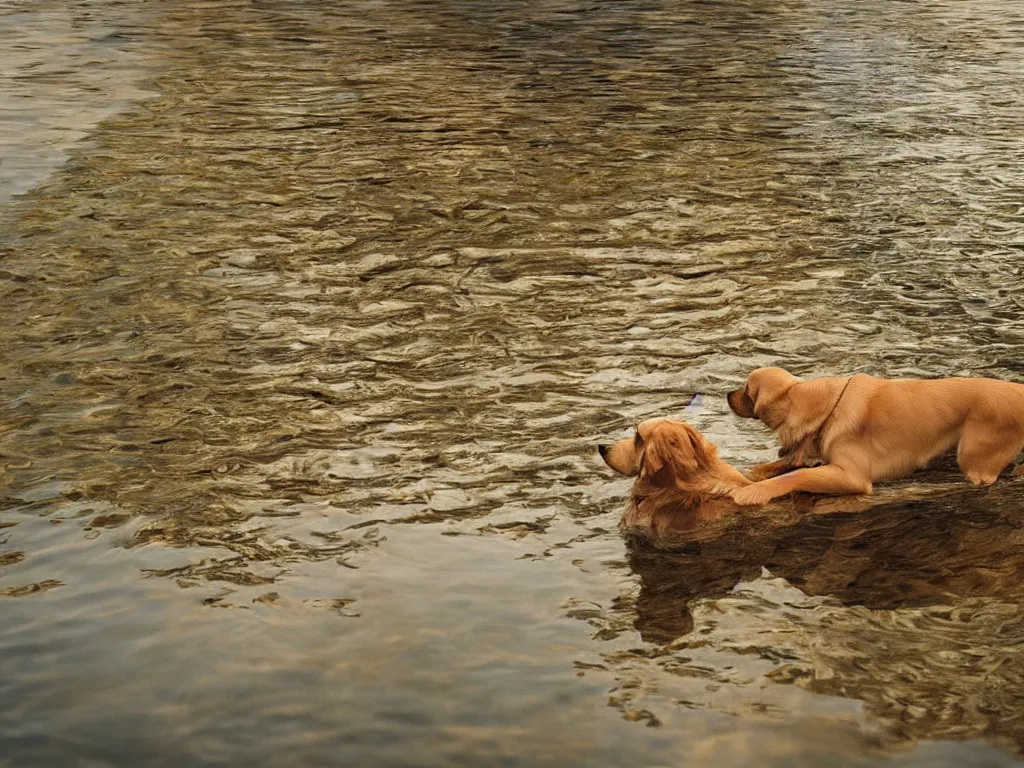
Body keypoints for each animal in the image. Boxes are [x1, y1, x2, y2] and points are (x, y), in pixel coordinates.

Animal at [724, 368, 1024, 507]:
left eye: (746, 390)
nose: (727, 394)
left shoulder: (852, 476)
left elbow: (796, 475)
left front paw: (752, 492)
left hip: (974, 456)